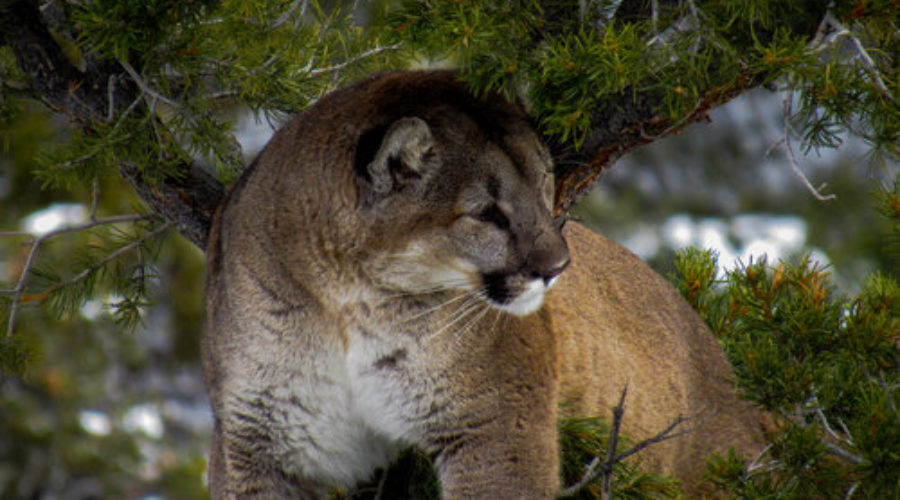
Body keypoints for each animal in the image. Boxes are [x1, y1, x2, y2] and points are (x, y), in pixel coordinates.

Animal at [204, 69, 768, 496]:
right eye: (486, 213)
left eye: (545, 185)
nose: (557, 265)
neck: (346, 301)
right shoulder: (256, 439)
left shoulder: (492, 423)